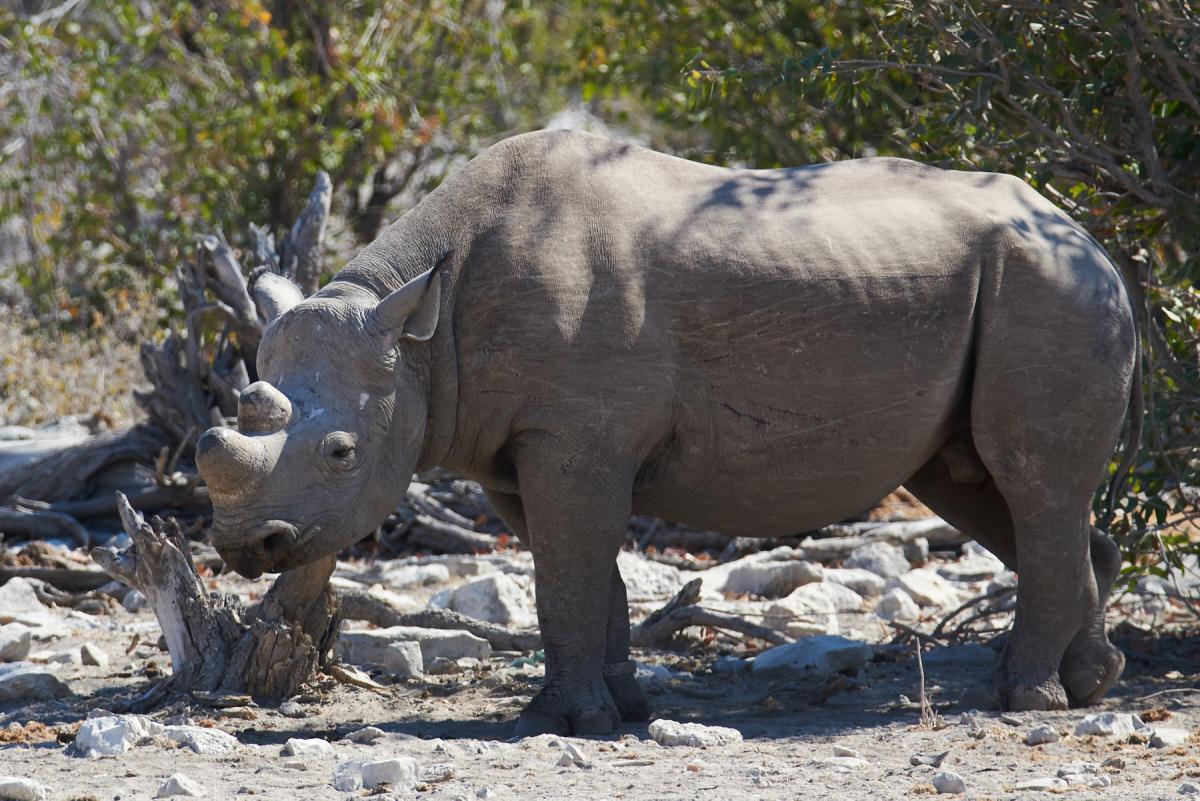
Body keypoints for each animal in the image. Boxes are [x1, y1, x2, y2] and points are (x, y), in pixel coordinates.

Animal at [196, 130, 1139, 736]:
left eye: (341, 453)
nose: (247, 546)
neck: (418, 339)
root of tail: (1091, 235)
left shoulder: (575, 436)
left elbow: (565, 576)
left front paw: (566, 720)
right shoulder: (522, 443)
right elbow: (585, 575)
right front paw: (619, 709)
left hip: (1049, 286)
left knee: (1030, 482)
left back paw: (1027, 699)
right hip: (1029, 287)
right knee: (983, 486)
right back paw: (1087, 684)